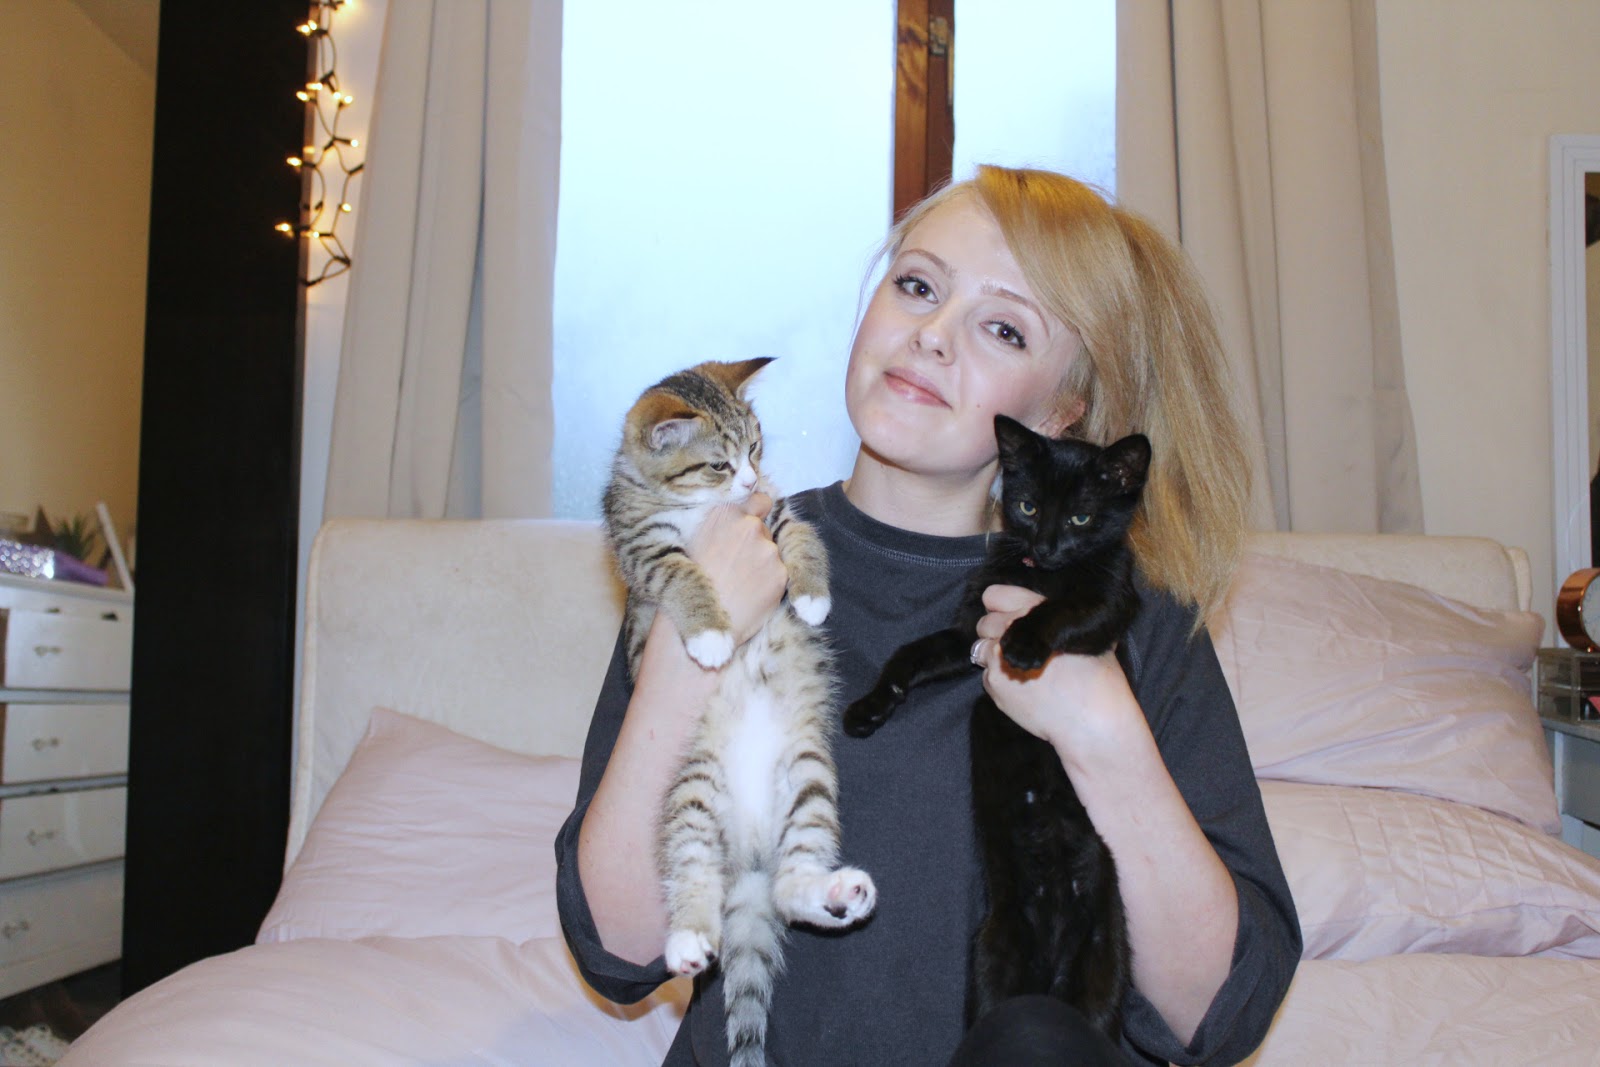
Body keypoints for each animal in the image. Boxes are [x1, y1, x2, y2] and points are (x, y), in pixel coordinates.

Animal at [602, 357, 877, 1067]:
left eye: (755, 450)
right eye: (717, 464)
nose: (749, 478)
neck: (699, 508)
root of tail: (751, 854)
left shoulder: (771, 511)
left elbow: (799, 531)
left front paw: (809, 595)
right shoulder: (640, 543)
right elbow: (679, 571)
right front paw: (708, 635)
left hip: (807, 777)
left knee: (790, 881)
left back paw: (828, 891)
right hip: (694, 794)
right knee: (694, 873)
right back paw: (688, 939)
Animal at [842, 413, 1148, 1038]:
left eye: (1081, 517)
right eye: (1028, 506)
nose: (1045, 547)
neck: (1040, 575)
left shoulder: (1111, 602)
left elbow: (1062, 609)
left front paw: (1024, 642)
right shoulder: (968, 632)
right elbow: (912, 653)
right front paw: (871, 707)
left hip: (1106, 962)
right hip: (994, 959)